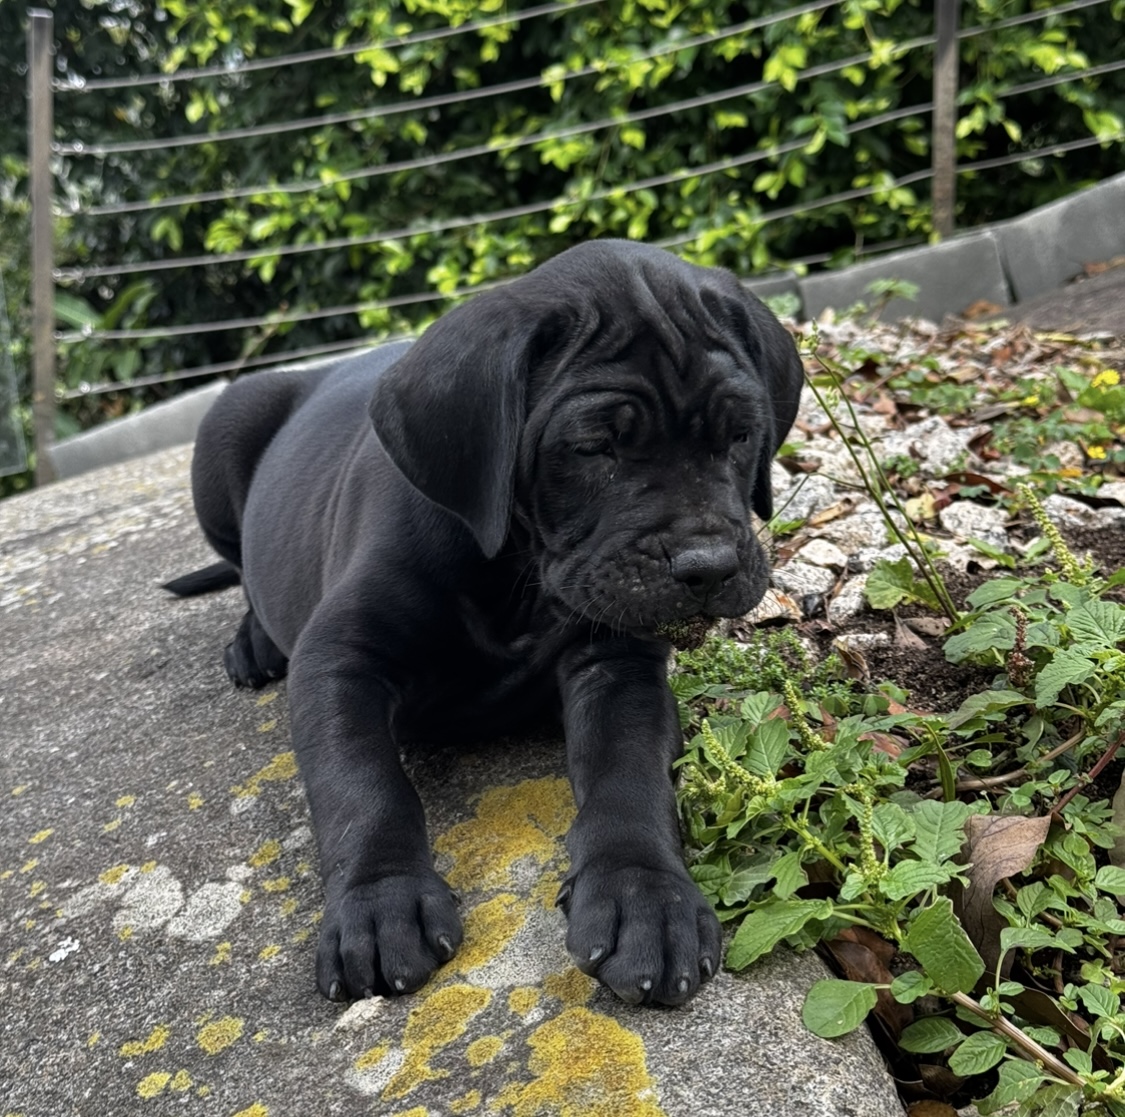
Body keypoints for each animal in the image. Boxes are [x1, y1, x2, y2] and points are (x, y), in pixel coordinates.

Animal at [164, 239, 801, 1007]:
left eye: (740, 435)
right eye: (594, 447)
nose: (708, 565)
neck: (517, 577)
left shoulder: (617, 663)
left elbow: (628, 771)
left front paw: (644, 897)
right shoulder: (339, 656)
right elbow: (361, 783)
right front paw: (379, 901)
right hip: (226, 425)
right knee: (243, 568)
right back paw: (255, 640)